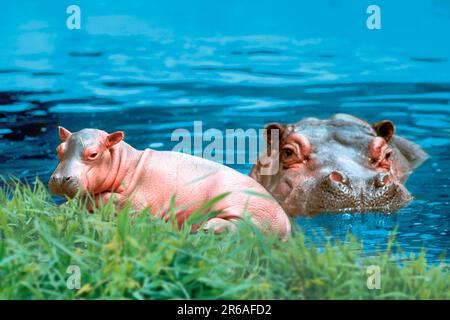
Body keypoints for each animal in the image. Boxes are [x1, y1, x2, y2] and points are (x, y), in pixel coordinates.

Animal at [47, 127, 290, 238]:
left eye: (94, 154)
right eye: (58, 149)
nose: (59, 179)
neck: (124, 162)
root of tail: (287, 222)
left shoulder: (138, 201)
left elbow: (104, 198)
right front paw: (63, 207)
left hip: (244, 205)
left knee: (245, 229)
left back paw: (208, 227)